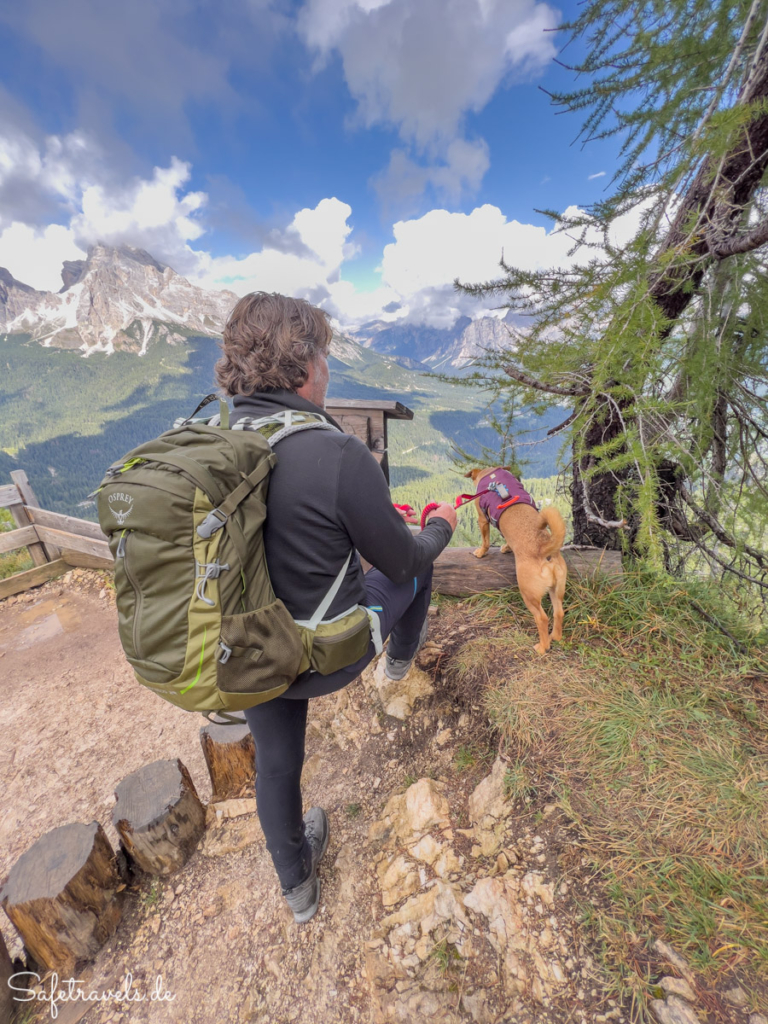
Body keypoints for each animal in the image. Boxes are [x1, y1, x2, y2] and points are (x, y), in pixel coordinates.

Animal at [466, 466, 569, 651]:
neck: (490, 474)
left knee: (542, 618)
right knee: (558, 613)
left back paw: (542, 647)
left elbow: (485, 540)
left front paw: (481, 552)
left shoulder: (482, 519)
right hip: (556, 589)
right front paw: (507, 547)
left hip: (528, 593)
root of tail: (544, 549)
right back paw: (555, 637)